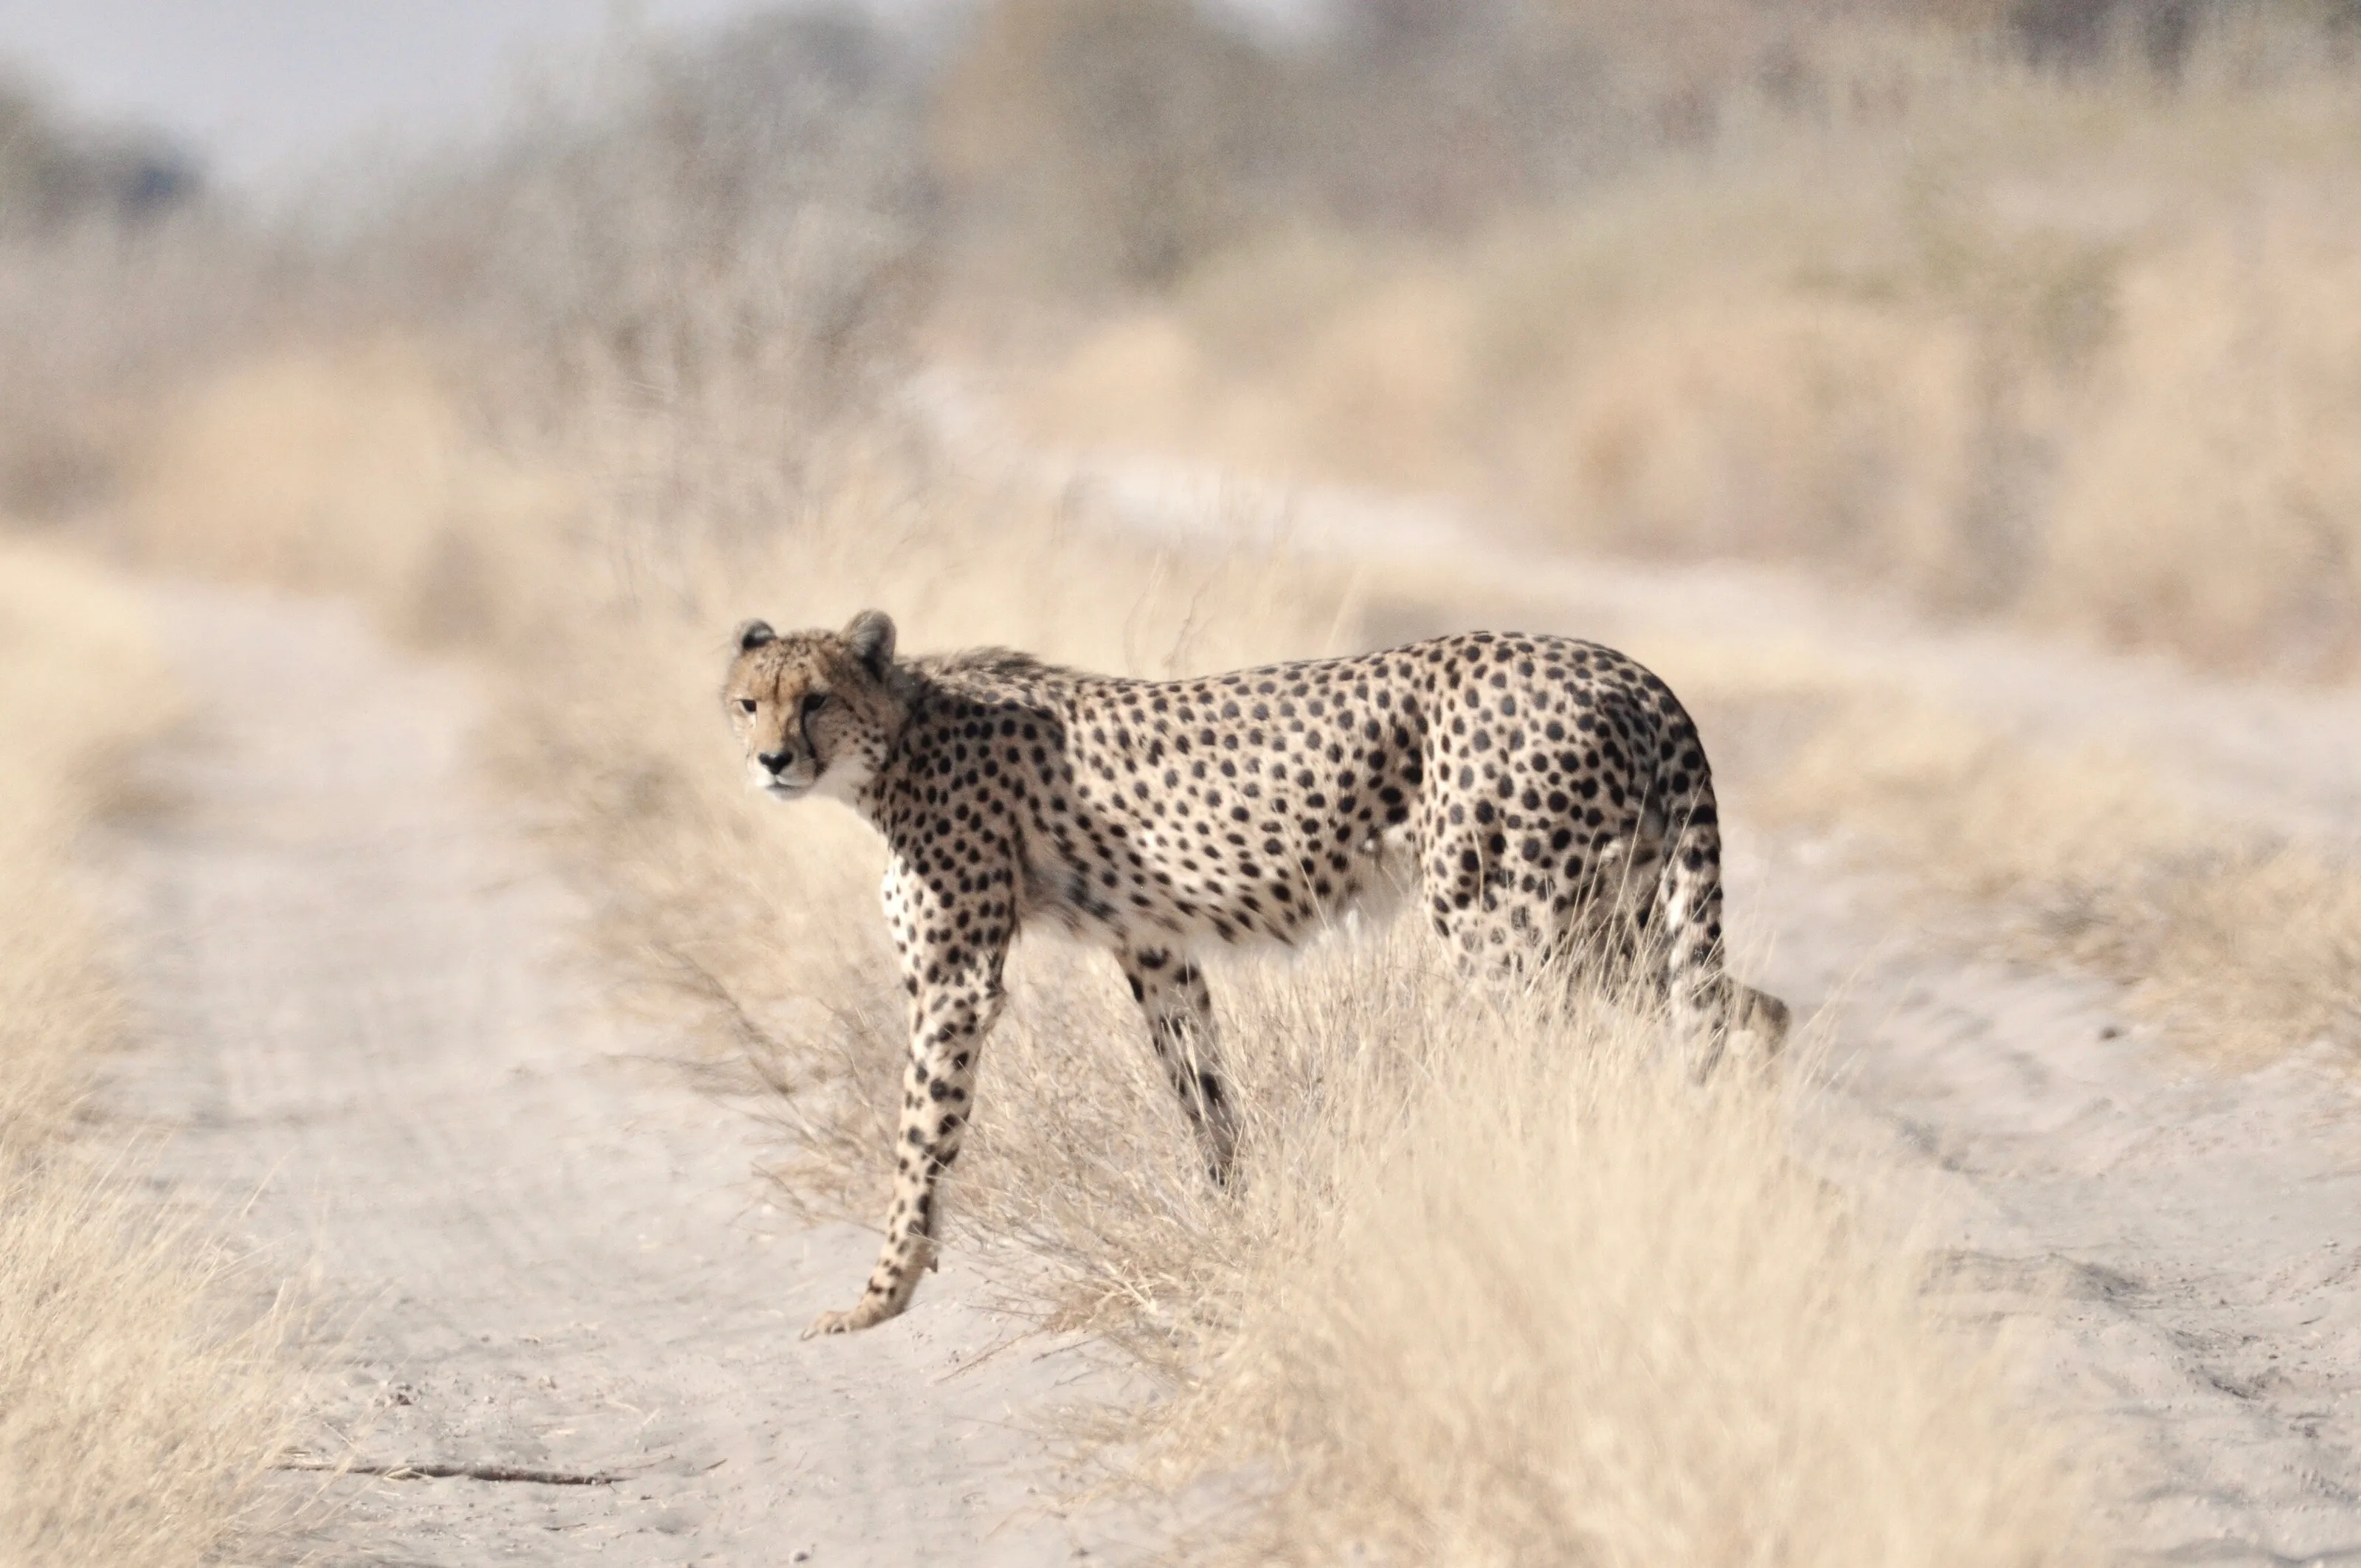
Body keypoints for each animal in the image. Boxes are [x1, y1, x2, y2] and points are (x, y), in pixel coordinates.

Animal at [723, 610, 1790, 1337]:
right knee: (1751, 1008)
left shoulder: (957, 977)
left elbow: (917, 1138)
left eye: (815, 698)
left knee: (1567, 1061)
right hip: (1613, 922)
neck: (903, 730)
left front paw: (877, 1296)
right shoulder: (1156, 948)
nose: (770, 760)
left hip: (1510, 926)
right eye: (747, 702)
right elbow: (1205, 1097)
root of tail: (1623, 666)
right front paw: (1235, 1220)